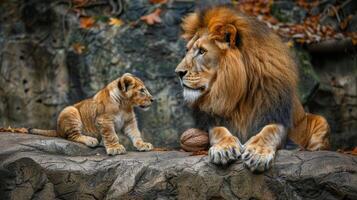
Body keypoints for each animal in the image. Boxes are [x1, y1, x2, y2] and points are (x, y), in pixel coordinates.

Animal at [175, 6, 328, 172]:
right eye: (187, 50)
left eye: (202, 51)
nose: (178, 72)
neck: (235, 93)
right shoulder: (212, 119)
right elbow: (218, 130)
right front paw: (224, 148)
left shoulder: (277, 116)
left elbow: (270, 131)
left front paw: (258, 153)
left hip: (322, 121)